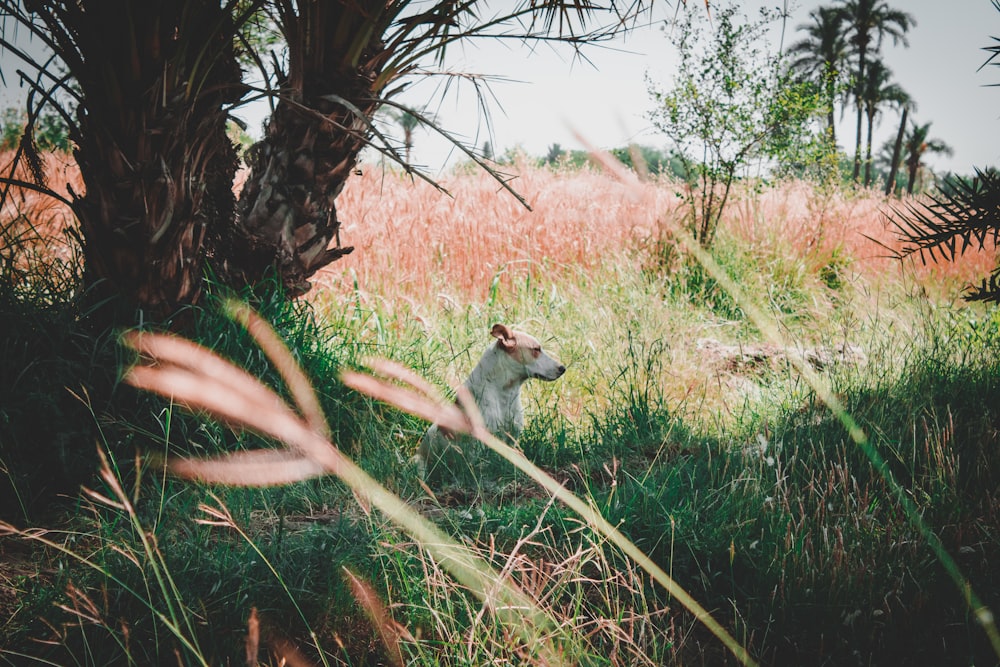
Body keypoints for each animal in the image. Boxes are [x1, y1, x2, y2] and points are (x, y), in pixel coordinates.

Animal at [418, 324, 568, 486]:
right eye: (536, 349)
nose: (563, 368)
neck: (505, 393)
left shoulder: (512, 439)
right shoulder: (480, 445)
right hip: (419, 463)